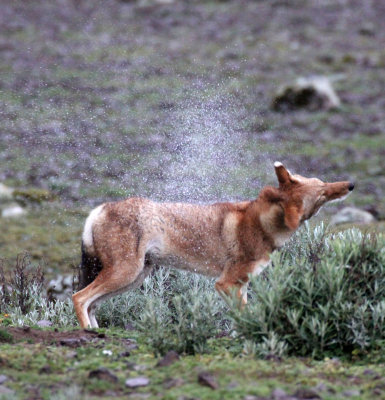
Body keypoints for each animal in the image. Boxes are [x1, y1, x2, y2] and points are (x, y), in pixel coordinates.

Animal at [73, 162, 354, 328]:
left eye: (321, 182)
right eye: (322, 194)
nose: (351, 185)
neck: (261, 224)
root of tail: (101, 208)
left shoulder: (241, 285)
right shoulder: (225, 284)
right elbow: (245, 315)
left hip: (132, 279)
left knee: (91, 303)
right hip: (125, 274)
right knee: (79, 297)